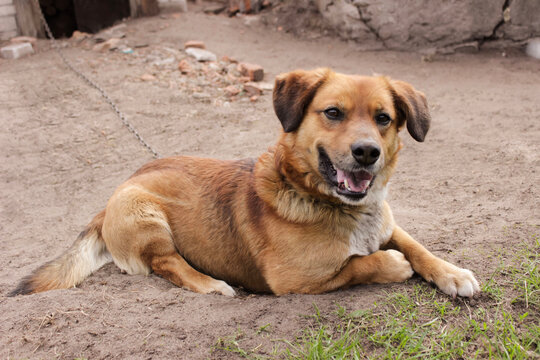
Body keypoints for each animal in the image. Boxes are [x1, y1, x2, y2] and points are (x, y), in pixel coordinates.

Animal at [9, 68, 480, 298]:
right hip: (146, 218)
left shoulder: (388, 226)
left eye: (384, 118)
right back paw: (211, 284)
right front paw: (391, 265)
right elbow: (362, 264)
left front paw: (452, 274)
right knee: (168, 265)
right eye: (333, 113)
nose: (367, 153)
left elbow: (417, 246)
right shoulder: (294, 281)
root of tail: (108, 201)